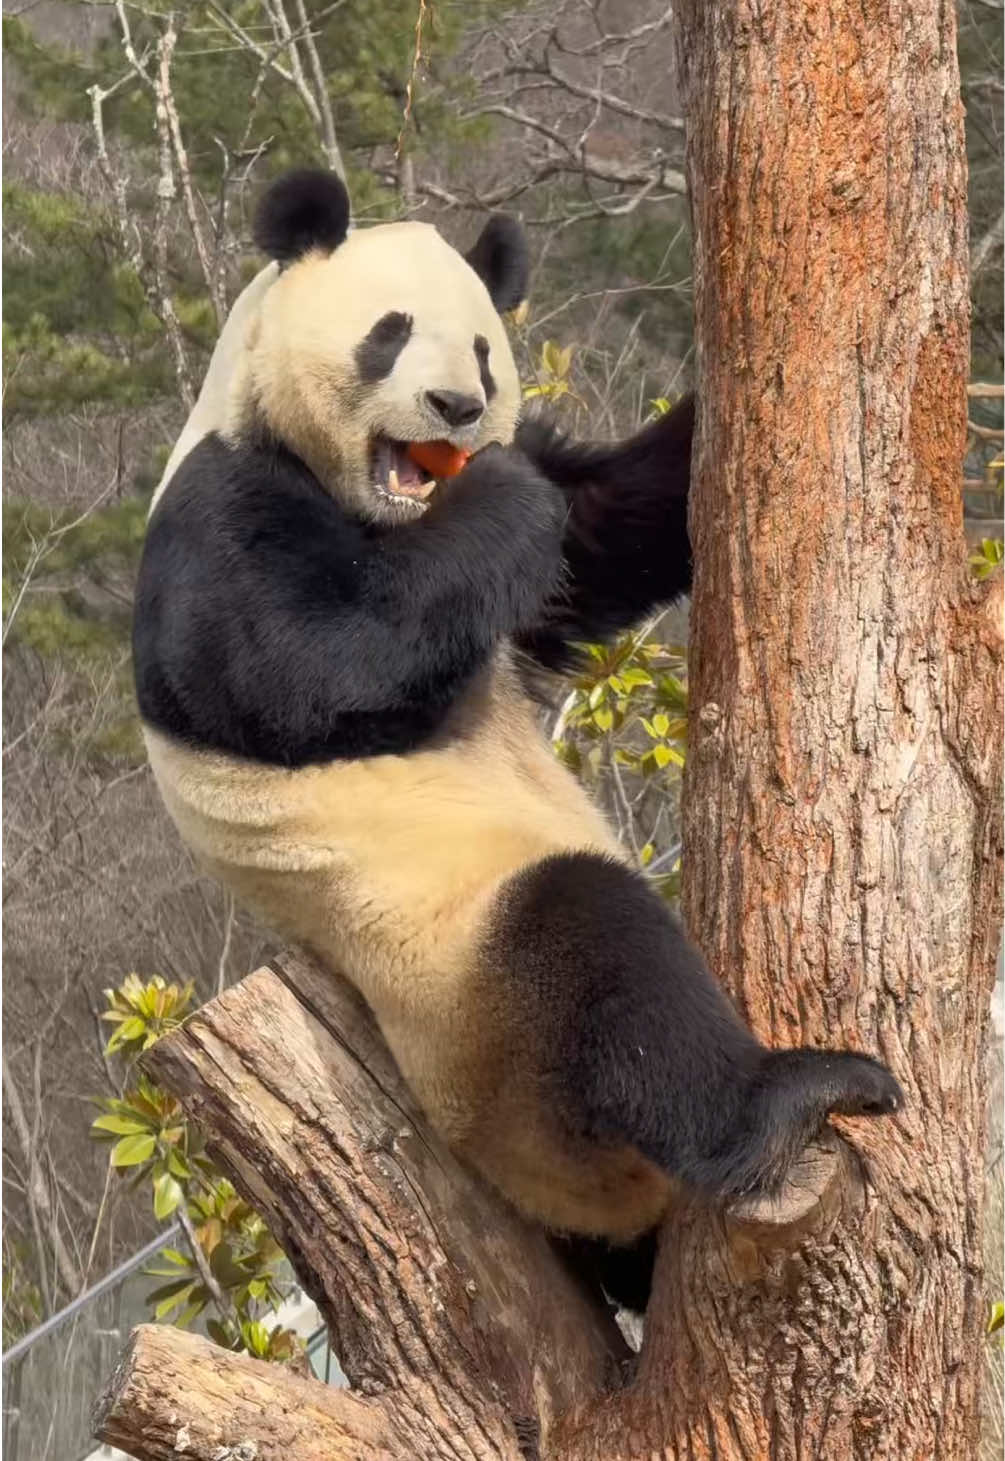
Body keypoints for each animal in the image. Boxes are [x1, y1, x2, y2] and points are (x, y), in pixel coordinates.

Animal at [133, 168, 902, 1309]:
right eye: (390, 334)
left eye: (484, 350)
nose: (457, 408)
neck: (382, 507)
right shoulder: (218, 518)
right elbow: (307, 668)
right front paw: (501, 498)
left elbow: (611, 531)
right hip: (479, 1014)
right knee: (600, 960)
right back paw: (782, 1100)